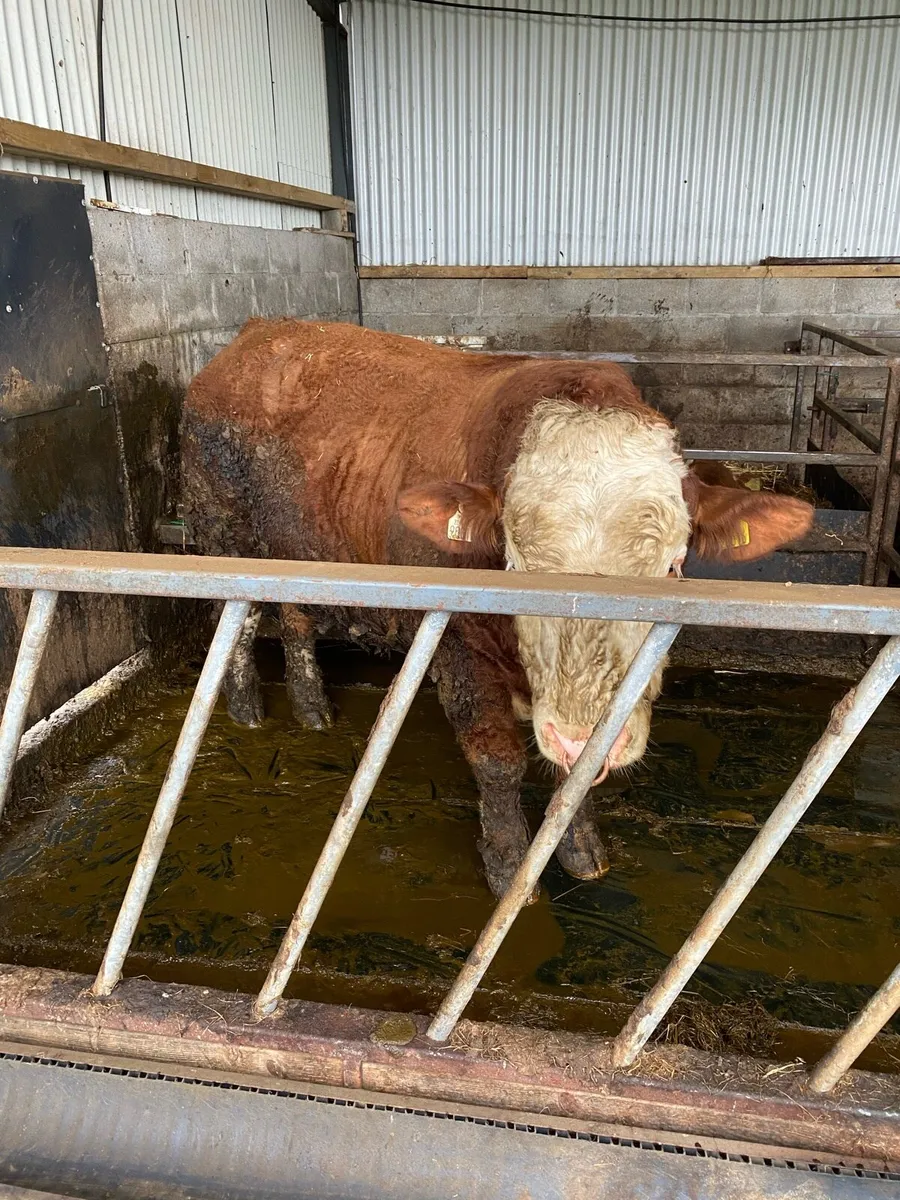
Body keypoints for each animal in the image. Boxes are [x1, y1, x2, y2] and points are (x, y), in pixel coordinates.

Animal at [182, 320, 813, 901]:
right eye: (516, 565)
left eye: (676, 566)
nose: (585, 735)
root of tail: (258, 333)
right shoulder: (455, 645)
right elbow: (498, 761)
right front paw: (511, 867)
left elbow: (571, 778)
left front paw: (581, 850)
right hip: (221, 526)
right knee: (237, 622)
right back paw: (246, 707)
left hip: (296, 546)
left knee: (294, 616)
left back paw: (312, 707)